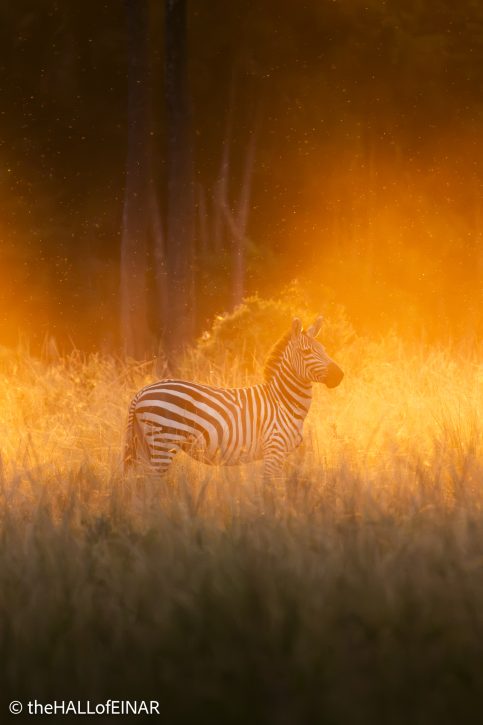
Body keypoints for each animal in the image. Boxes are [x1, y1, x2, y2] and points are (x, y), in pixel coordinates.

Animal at [124, 316, 344, 479]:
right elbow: (270, 489)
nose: (339, 375)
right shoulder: (274, 448)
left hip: (144, 444)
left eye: (324, 350)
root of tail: (142, 391)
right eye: (306, 351)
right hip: (163, 442)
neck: (283, 402)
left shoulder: (283, 453)